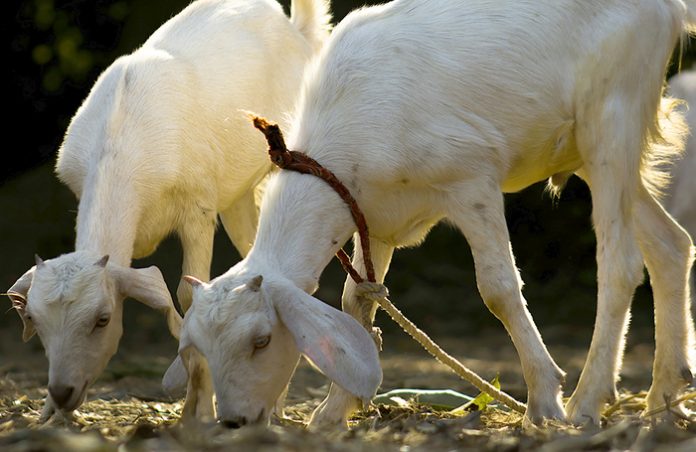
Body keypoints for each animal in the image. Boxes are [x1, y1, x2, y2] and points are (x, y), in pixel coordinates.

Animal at [6, 0, 330, 420]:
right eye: (34, 320)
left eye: (102, 319)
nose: (63, 392)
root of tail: (297, 31)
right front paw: (46, 413)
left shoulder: (198, 206)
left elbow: (189, 295)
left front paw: (199, 411)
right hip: (238, 196)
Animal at [169, 0, 696, 428]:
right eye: (200, 348)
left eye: (261, 341)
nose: (234, 421)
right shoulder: (373, 217)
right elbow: (357, 302)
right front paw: (335, 411)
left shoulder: (472, 180)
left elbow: (498, 290)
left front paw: (544, 400)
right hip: (587, 149)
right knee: (671, 244)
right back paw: (664, 397)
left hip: (612, 117)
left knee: (621, 263)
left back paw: (587, 401)